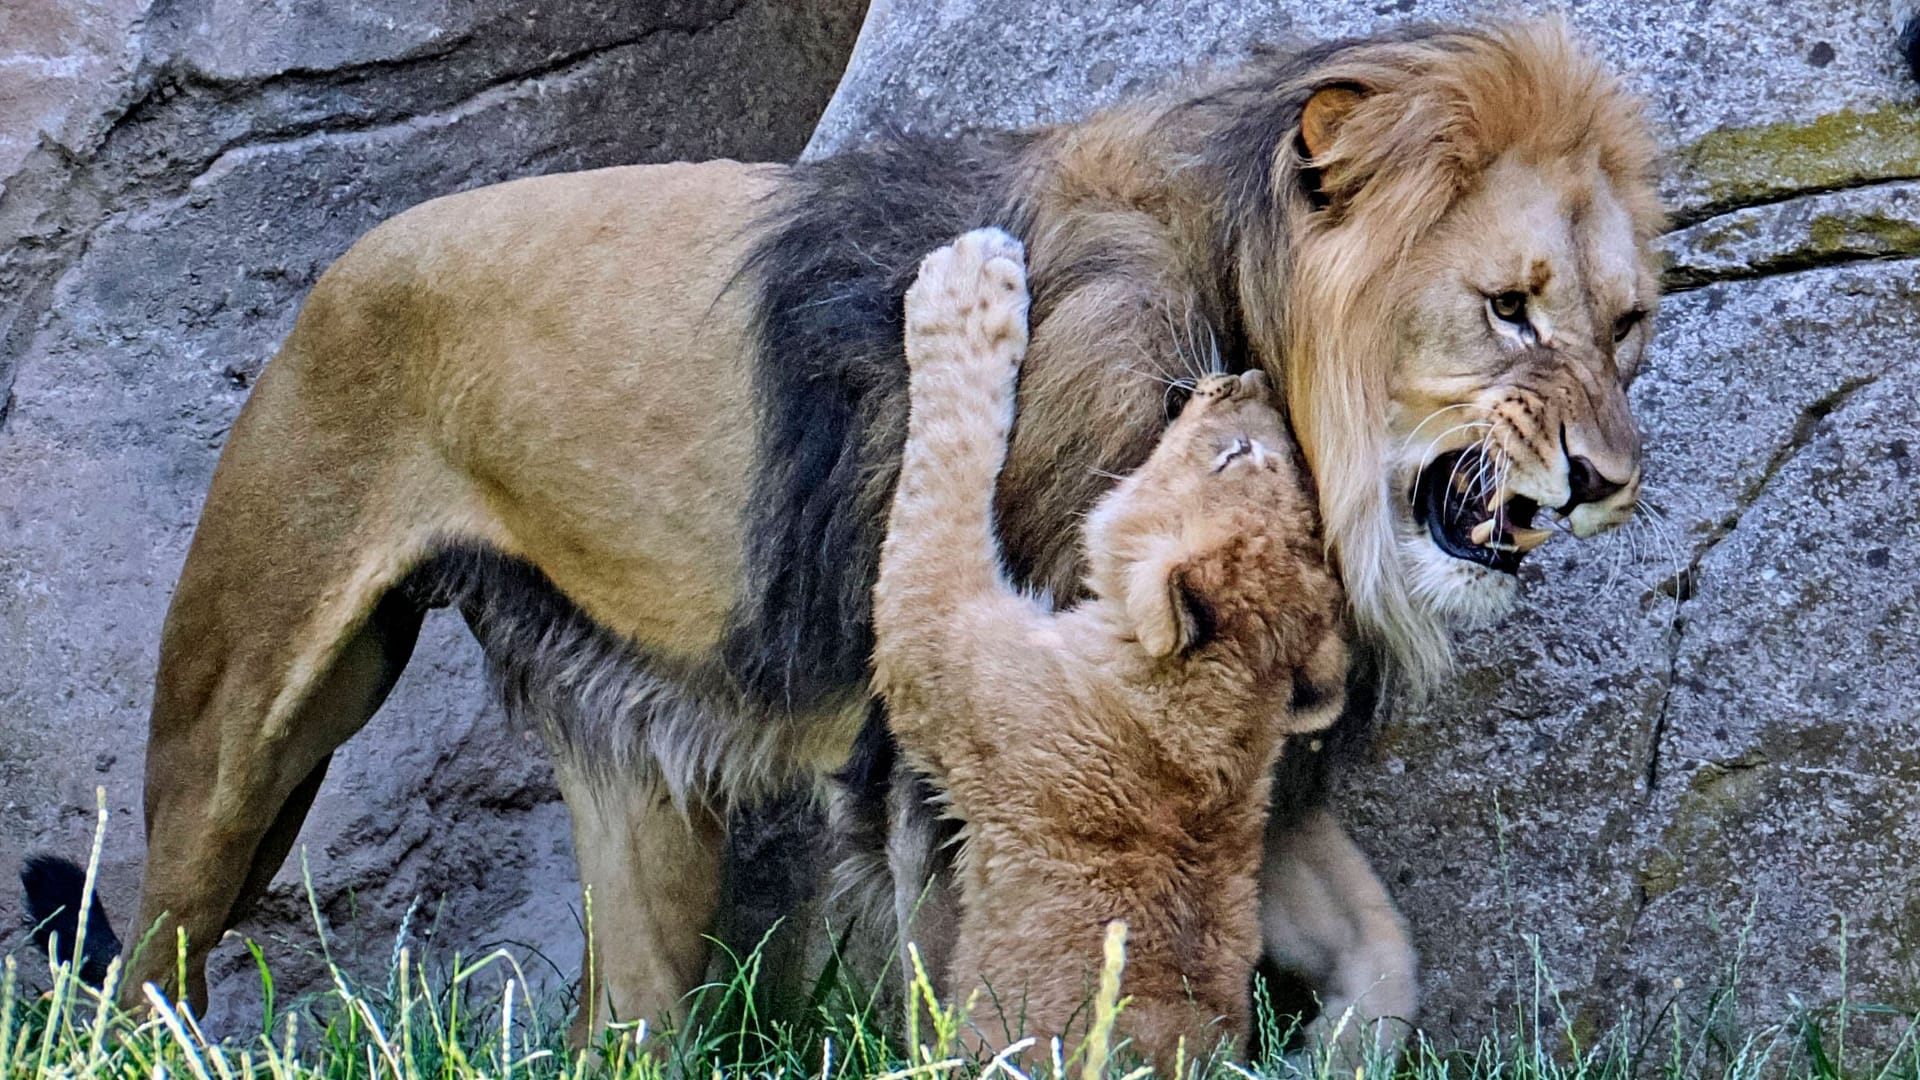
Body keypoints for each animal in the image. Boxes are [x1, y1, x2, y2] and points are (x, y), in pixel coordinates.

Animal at [90, 16, 1658, 1037]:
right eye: (1508, 310)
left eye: (1629, 325)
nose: (1605, 481)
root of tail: (347, 253)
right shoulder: (976, 749)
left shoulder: (1204, 759)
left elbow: (1381, 954)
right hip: (244, 712)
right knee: (155, 936)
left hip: (639, 794)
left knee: (624, 1022)